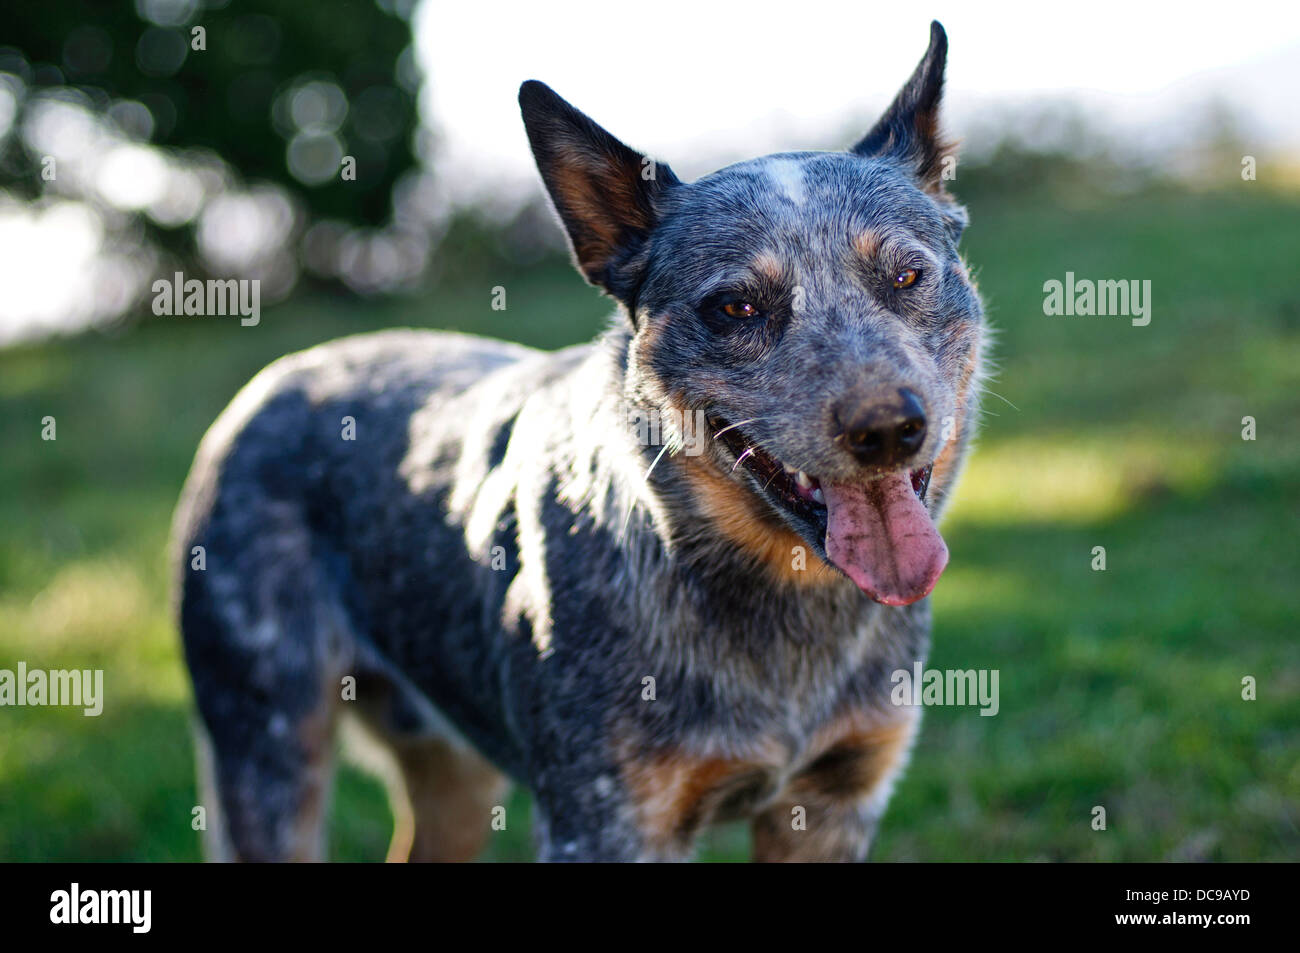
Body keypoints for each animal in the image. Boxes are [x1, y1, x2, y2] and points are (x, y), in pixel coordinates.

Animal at [172, 18, 982, 858]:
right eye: (736, 307)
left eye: (907, 276)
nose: (888, 428)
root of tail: (276, 378)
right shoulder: (603, 821)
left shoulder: (835, 800)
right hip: (266, 744)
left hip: (454, 777)